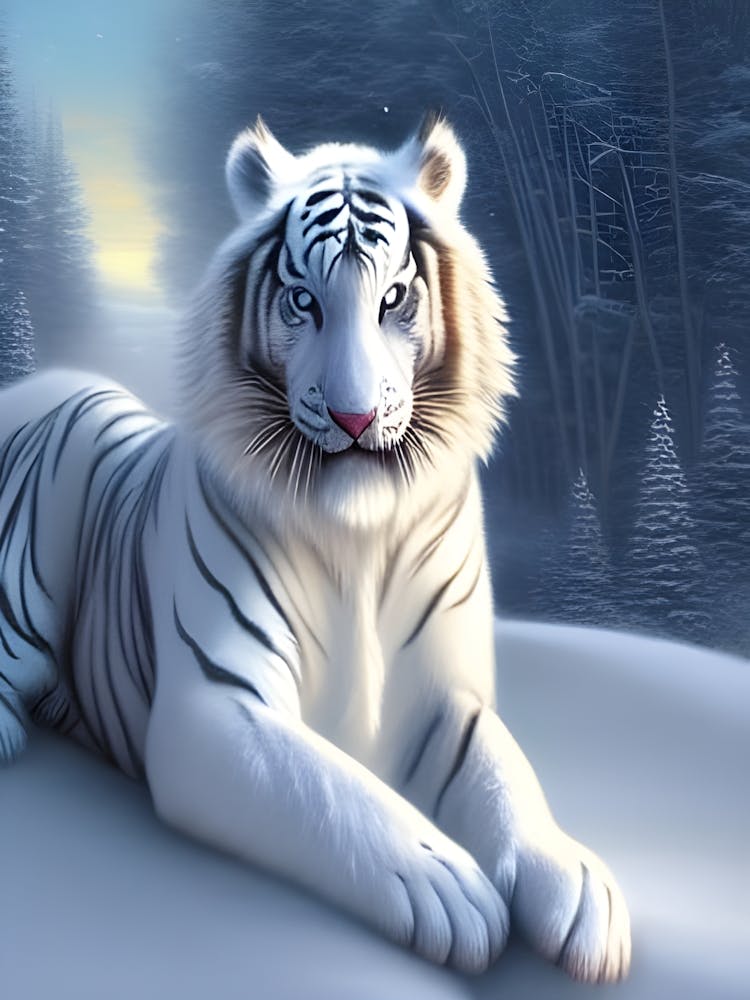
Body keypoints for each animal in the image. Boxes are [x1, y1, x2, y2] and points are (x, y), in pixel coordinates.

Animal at [0, 116, 630, 981]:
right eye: (303, 300)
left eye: (394, 297)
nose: (355, 419)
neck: (356, 536)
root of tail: (47, 383)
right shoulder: (218, 705)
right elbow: (337, 795)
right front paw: (450, 887)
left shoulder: (445, 700)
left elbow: (509, 779)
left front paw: (576, 885)